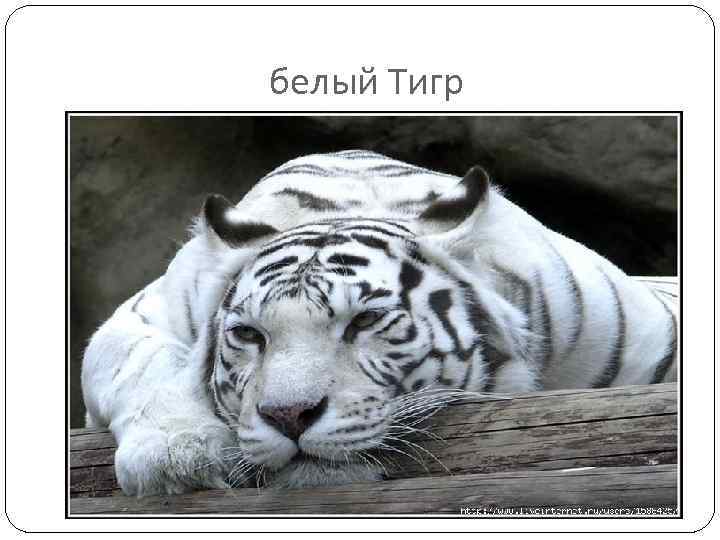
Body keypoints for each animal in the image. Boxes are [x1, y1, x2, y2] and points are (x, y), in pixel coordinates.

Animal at [81, 149, 678, 496]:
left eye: (364, 321)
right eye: (250, 335)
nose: (289, 416)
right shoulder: (147, 311)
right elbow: (140, 361)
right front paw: (174, 457)